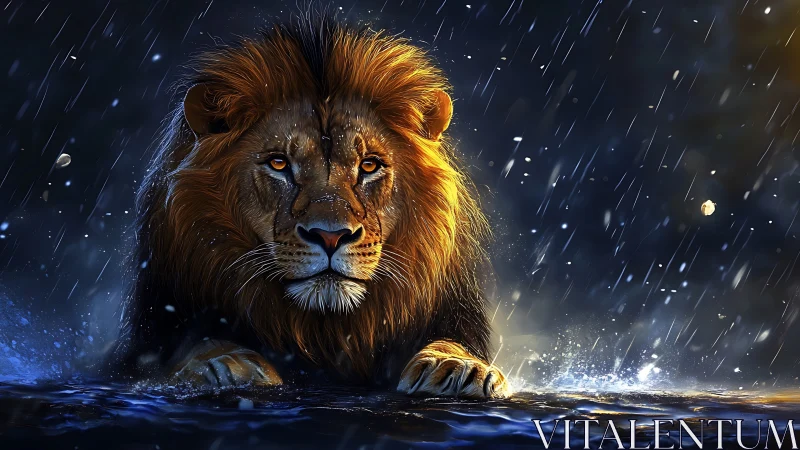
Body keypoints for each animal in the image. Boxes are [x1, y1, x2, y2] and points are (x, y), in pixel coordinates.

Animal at [112, 16, 510, 399]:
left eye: (369, 165)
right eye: (279, 163)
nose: (330, 237)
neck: (325, 331)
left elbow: (452, 341)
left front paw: (457, 367)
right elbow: (189, 347)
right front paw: (224, 366)